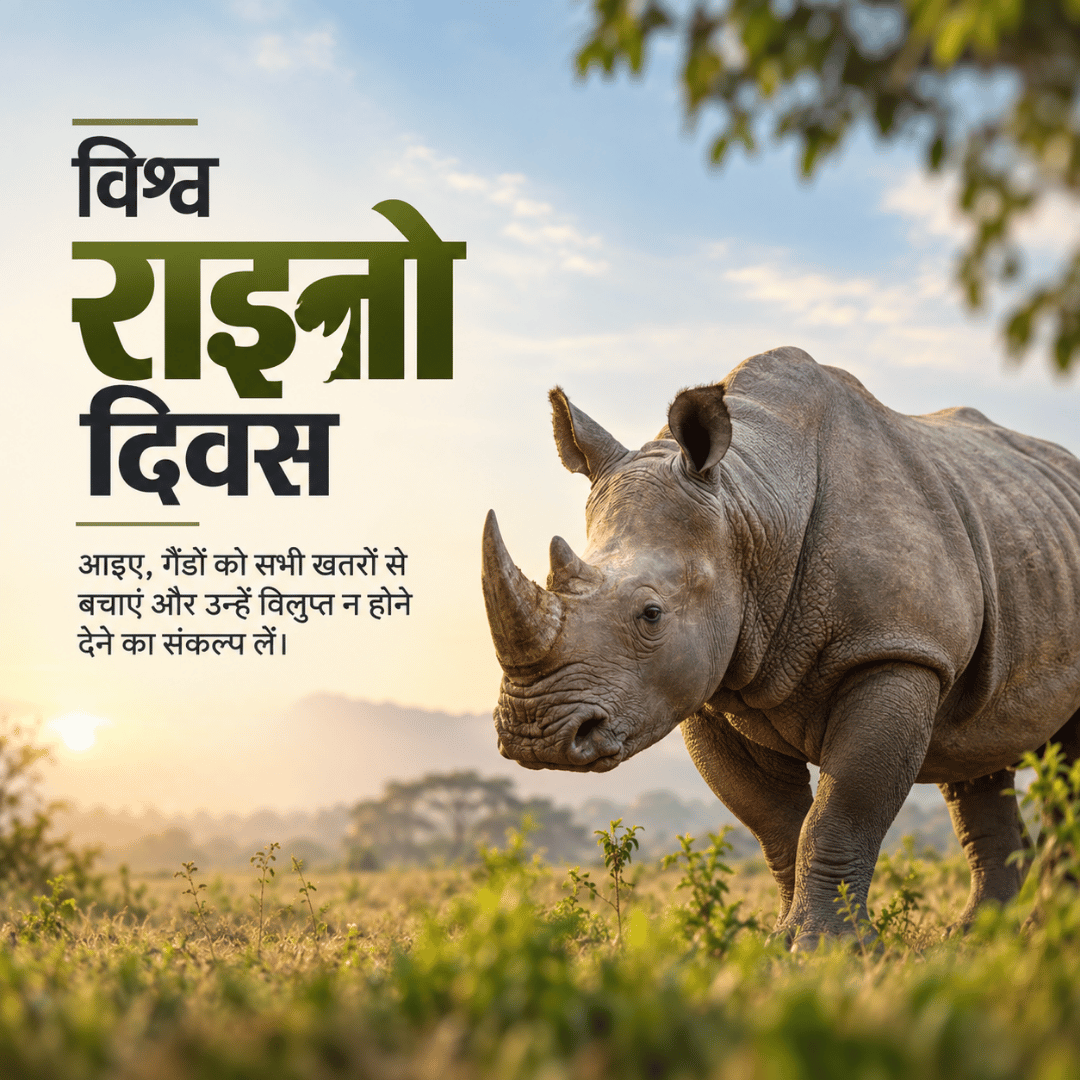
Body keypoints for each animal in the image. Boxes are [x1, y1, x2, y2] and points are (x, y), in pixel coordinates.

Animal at [481, 346, 1080, 948]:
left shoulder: (896, 650)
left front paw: (826, 948)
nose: (536, 734)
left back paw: (1044, 932)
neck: (752, 513)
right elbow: (776, 821)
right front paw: (781, 944)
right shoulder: (709, 681)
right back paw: (981, 936)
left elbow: (844, 807)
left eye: (651, 614)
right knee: (975, 750)